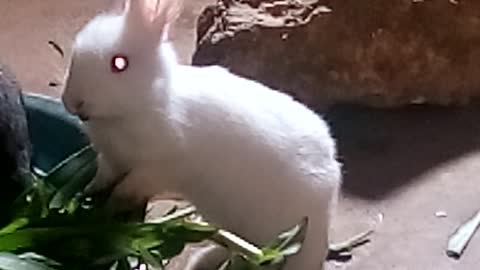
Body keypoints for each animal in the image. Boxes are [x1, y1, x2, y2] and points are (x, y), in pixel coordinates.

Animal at [62, 0, 344, 268]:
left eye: (119, 63)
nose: (73, 102)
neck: (148, 100)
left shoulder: (157, 170)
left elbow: (127, 189)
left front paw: (109, 208)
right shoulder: (110, 161)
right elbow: (101, 180)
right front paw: (85, 195)